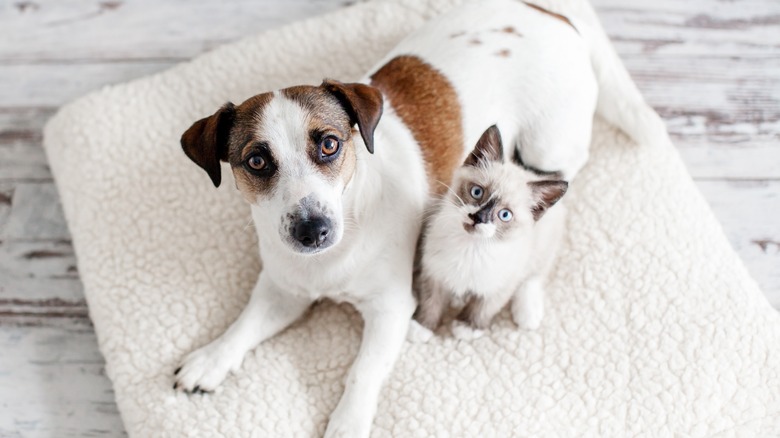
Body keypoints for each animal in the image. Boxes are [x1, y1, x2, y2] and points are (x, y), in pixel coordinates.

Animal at [412, 125, 568, 340]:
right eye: (477, 192)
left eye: (504, 215)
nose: (478, 218)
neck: (471, 247)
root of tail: (531, 173)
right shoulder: (434, 272)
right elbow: (431, 302)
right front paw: (422, 326)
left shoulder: (500, 285)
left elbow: (483, 307)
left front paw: (467, 327)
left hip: (543, 248)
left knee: (535, 277)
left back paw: (528, 314)